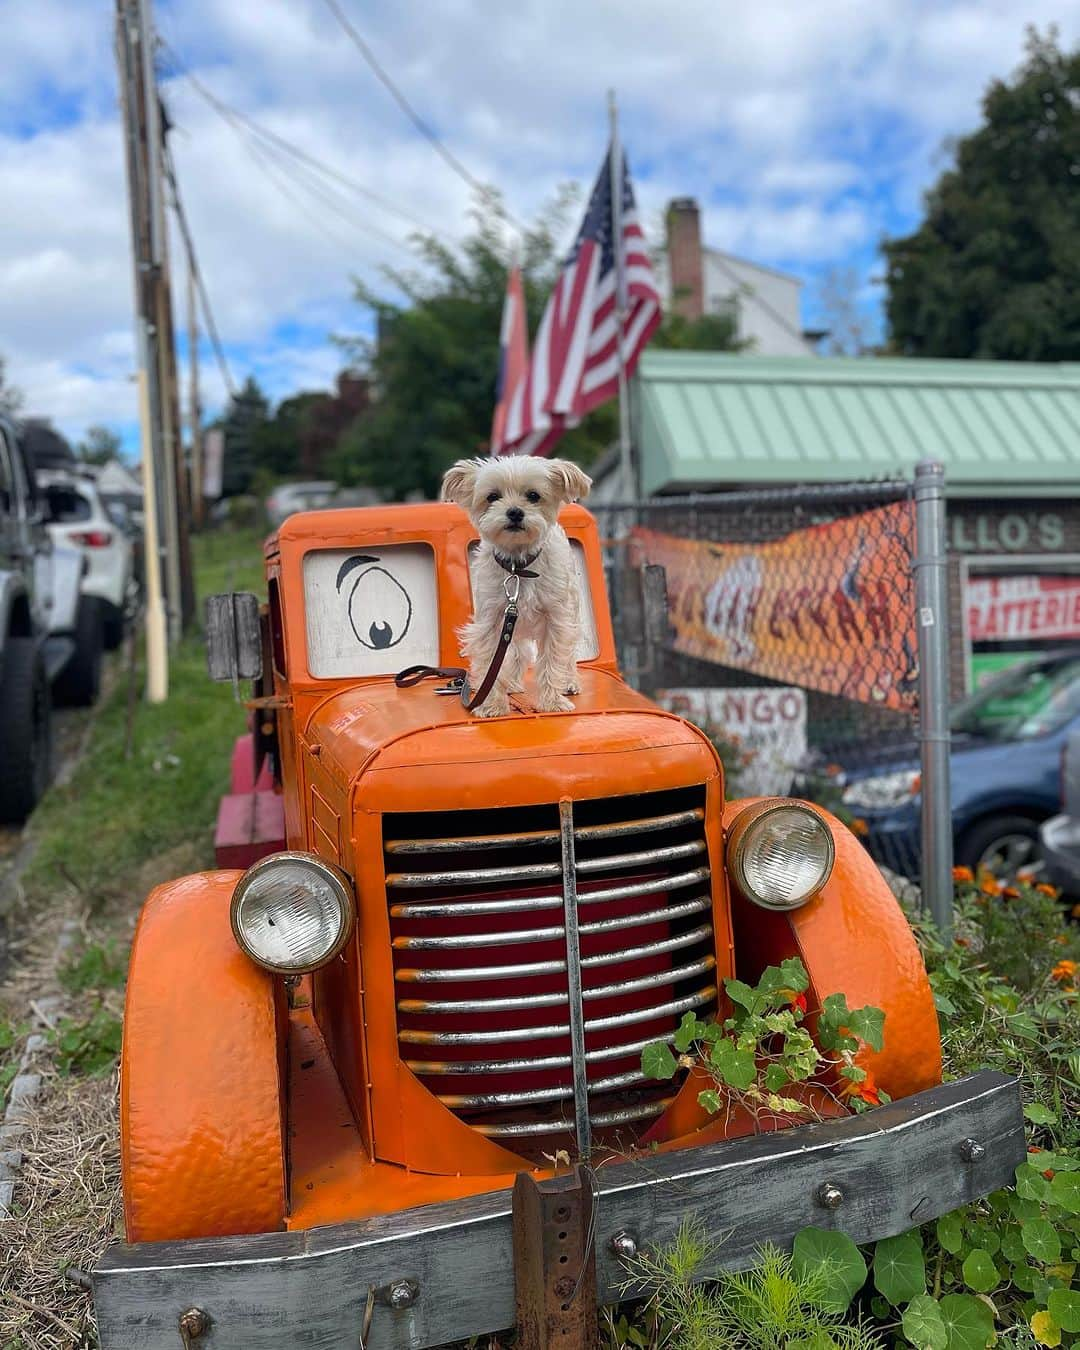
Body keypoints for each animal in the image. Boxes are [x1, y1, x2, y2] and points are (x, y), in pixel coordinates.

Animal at [437, 456, 591, 718]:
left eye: (533, 495)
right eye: (492, 496)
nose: (515, 512)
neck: (517, 568)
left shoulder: (555, 620)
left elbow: (552, 661)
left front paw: (552, 702)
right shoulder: (493, 622)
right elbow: (491, 663)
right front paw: (492, 704)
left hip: (571, 610)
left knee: (567, 654)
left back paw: (569, 682)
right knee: (518, 654)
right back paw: (512, 683)